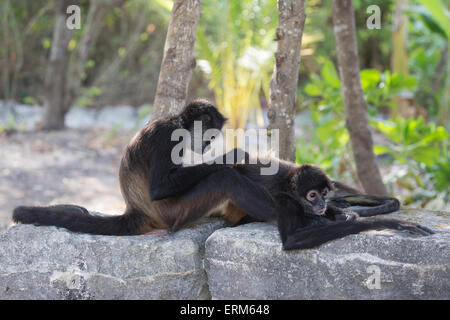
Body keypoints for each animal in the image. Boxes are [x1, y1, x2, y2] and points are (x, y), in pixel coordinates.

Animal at [12, 99, 434, 249]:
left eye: (322, 193)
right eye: (208, 133)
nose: (321, 204)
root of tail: (138, 212)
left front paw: (357, 211)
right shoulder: (166, 135)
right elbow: (292, 238)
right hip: (175, 213)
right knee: (222, 180)